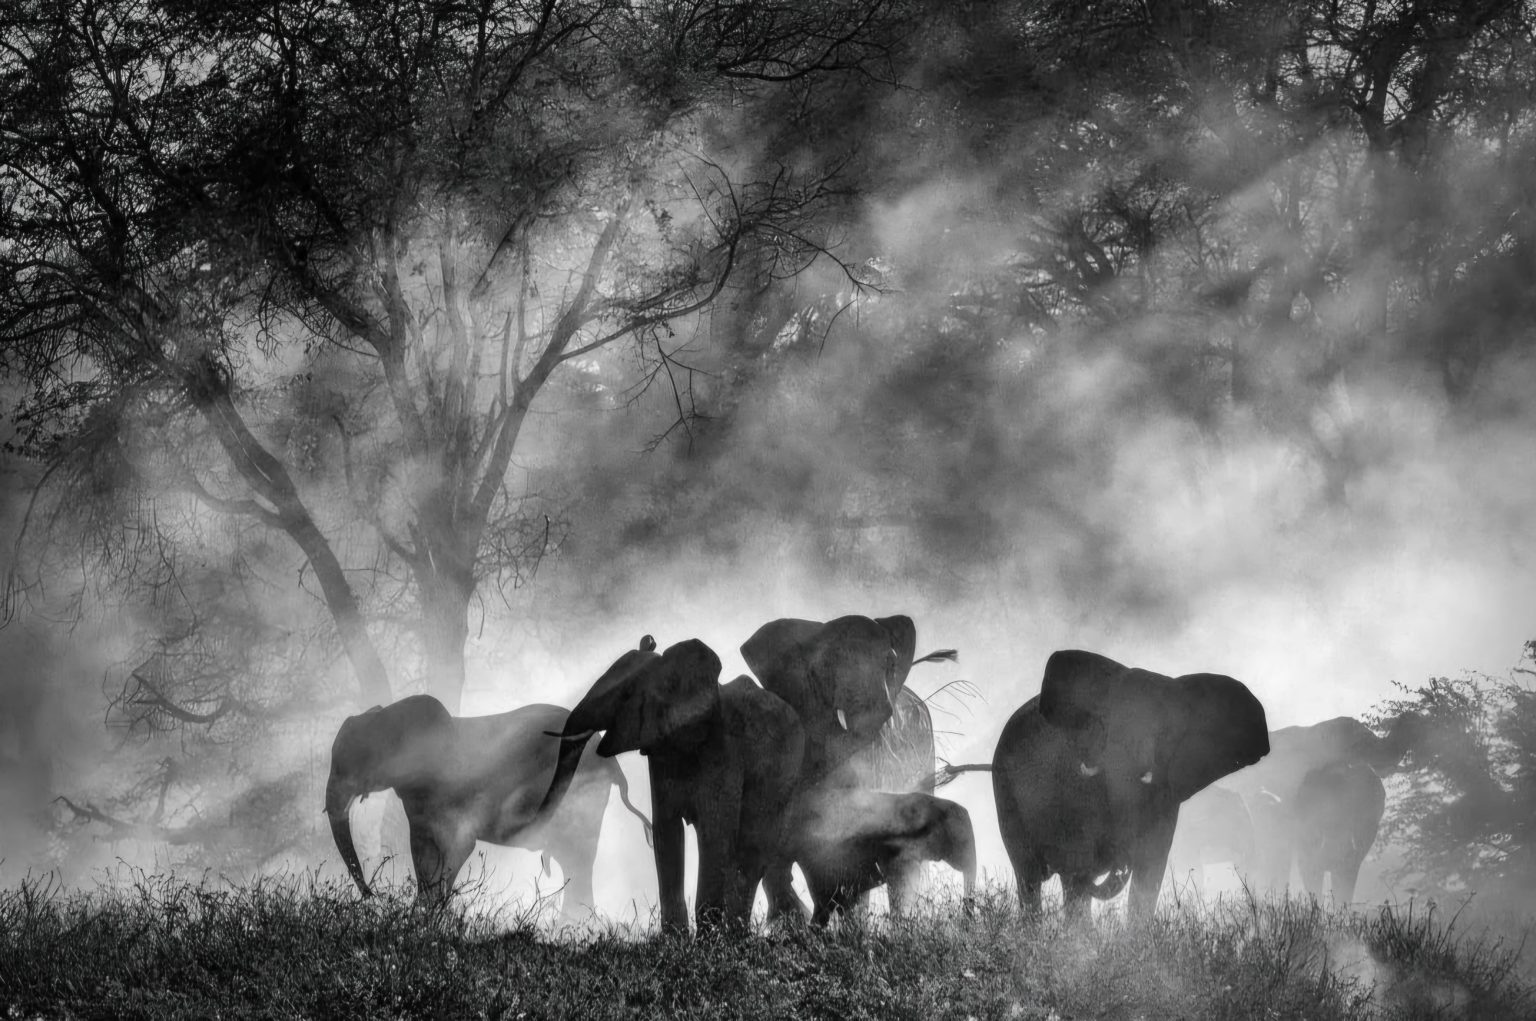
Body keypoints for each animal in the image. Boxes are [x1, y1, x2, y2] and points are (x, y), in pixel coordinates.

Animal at [325, 696, 652, 911]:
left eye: (357, 761)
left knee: (578, 859)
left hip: (582, 796)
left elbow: (458, 847)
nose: (373, 896)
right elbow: (422, 853)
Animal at [538, 637, 804, 933]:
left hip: (784, 778)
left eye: (627, 694)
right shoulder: (660, 752)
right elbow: (666, 830)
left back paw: (737, 935)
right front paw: (675, 938)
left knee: (752, 849)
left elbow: (714, 831)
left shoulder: (724, 751)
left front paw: (708, 939)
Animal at [990, 649, 1270, 921]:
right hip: (1006, 795)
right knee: (1031, 878)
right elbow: (1078, 866)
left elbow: (1150, 868)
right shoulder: (1072, 788)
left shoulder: (1166, 795)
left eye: (1166, 734)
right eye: (1107, 726)